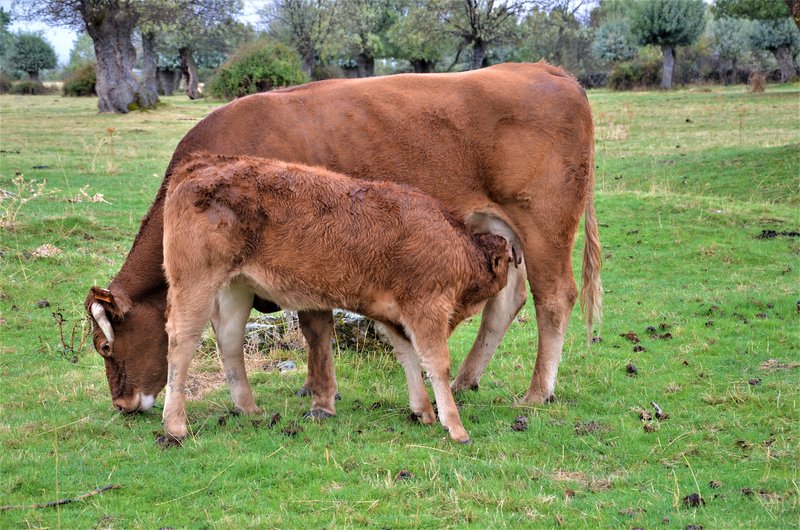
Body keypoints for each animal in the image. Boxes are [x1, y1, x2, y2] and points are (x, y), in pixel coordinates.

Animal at [162, 153, 512, 442]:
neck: (456, 243)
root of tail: (200, 165)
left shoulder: (393, 315)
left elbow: (409, 356)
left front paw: (422, 411)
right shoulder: (426, 308)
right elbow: (436, 363)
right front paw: (455, 427)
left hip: (235, 289)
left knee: (229, 340)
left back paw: (249, 408)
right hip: (195, 284)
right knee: (182, 341)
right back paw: (175, 425)